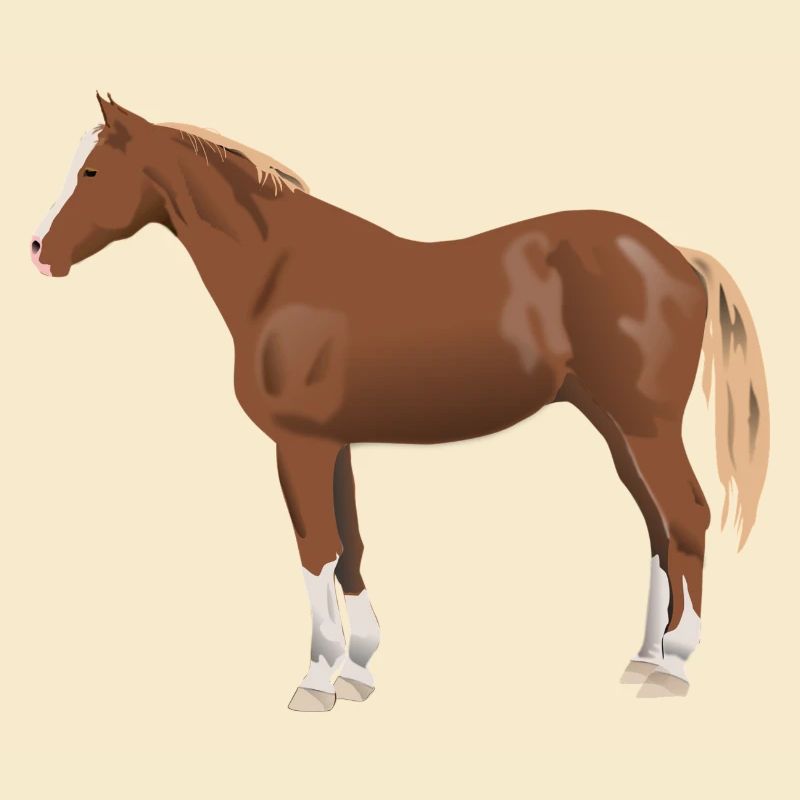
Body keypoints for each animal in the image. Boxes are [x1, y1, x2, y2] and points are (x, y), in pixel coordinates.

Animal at [30, 93, 769, 710]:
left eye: (92, 171)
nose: (38, 251)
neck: (280, 275)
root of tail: (679, 256)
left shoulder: (299, 443)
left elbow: (316, 549)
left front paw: (316, 680)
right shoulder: (335, 443)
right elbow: (351, 546)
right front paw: (358, 670)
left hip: (645, 424)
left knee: (687, 517)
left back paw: (674, 667)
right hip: (615, 426)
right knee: (657, 528)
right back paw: (644, 658)